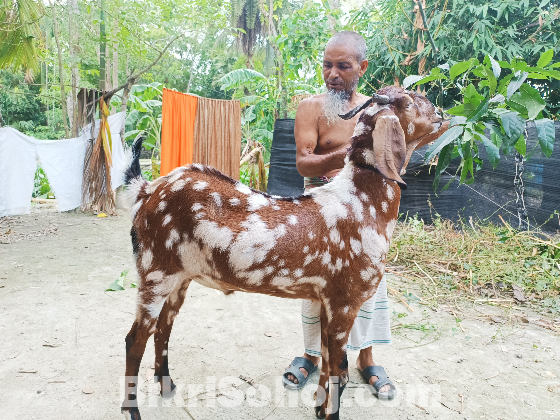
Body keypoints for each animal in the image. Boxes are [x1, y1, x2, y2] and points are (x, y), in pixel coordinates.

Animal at [121, 86, 446, 420]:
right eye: (410, 101)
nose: (442, 113)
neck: (363, 202)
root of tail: (148, 190)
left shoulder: (326, 300)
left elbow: (328, 362)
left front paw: (319, 409)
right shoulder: (345, 300)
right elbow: (339, 370)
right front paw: (330, 413)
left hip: (180, 277)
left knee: (163, 329)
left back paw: (166, 386)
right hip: (155, 272)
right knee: (135, 339)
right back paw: (133, 411)